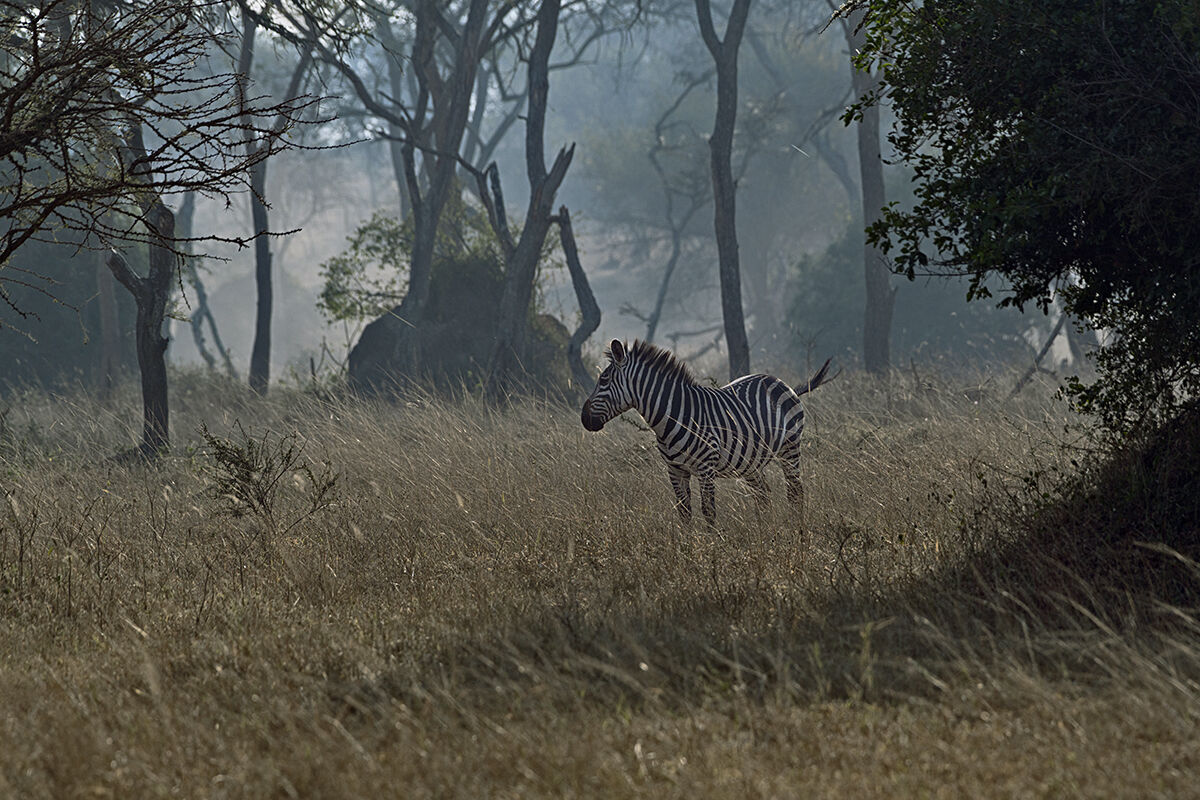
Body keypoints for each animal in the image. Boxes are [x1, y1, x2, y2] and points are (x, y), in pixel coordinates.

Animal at [581, 339, 833, 525]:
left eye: (604, 380)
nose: (584, 419)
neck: (675, 416)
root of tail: (781, 382)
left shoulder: (706, 468)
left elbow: (708, 511)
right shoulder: (675, 470)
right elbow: (684, 513)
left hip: (790, 448)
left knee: (795, 492)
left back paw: (796, 534)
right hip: (751, 462)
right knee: (763, 495)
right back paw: (765, 533)